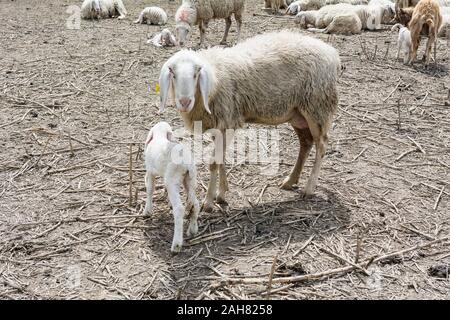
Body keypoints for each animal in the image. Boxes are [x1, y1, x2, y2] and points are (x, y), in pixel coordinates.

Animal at [144, 121, 200, 254]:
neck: (160, 135)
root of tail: (186, 161)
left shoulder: (150, 170)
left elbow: (150, 189)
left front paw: (147, 211)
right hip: (190, 179)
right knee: (195, 204)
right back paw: (193, 230)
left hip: (172, 179)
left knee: (179, 209)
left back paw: (176, 245)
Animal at [158, 30, 342, 212]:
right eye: (173, 73)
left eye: (196, 74)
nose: (184, 102)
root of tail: (331, 53)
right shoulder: (220, 124)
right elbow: (221, 159)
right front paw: (222, 193)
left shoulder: (227, 121)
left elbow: (214, 163)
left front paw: (209, 202)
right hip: (298, 114)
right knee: (306, 143)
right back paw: (290, 181)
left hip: (317, 106)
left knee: (321, 145)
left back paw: (309, 188)